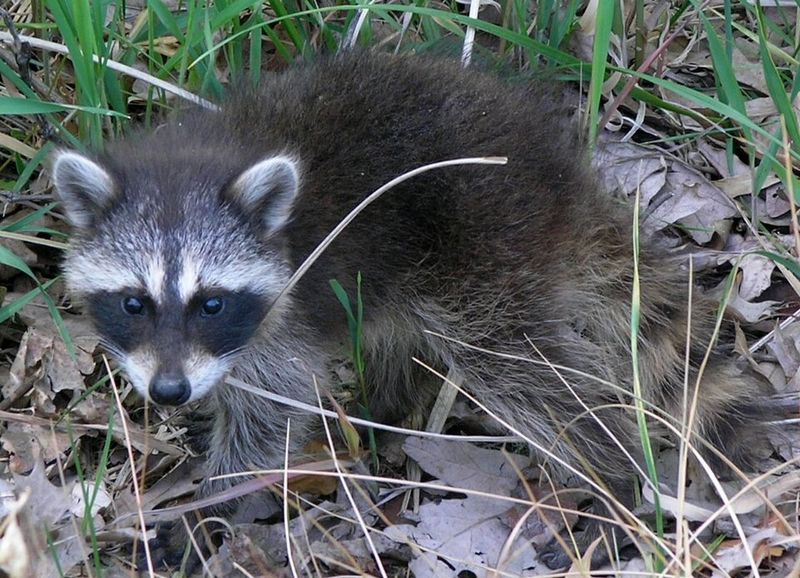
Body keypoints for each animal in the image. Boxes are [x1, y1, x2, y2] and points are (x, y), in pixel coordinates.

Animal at [51, 52, 772, 569]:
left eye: (212, 303)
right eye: (134, 303)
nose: (169, 393)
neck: (193, 164)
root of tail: (562, 178)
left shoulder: (282, 317)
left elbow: (272, 411)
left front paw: (211, 505)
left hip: (487, 247)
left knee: (527, 373)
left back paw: (610, 471)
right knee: (404, 336)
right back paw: (385, 413)